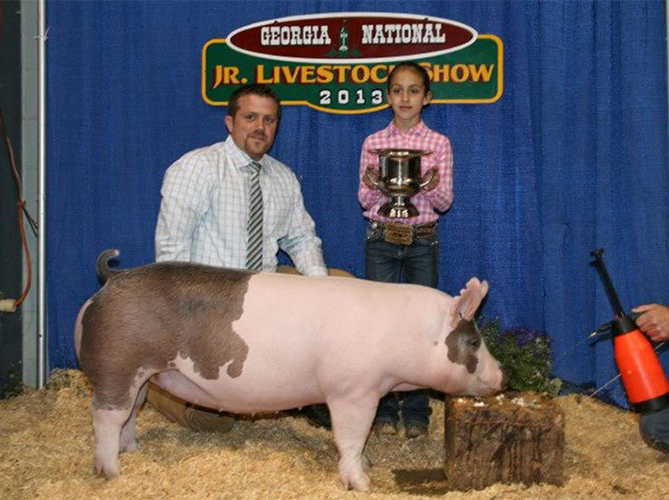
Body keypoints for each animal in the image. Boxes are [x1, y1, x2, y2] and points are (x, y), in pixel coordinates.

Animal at [75, 249, 505, 491]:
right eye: (473, 342)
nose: (504, 375)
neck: (406, 336)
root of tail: (112, 279)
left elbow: (361, 441)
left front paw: (368, 466)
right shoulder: (352, 390)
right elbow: (351, 438)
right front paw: (363, 483)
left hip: (144, 376)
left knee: (130, 414)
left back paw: (133, 452)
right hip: (117, 365)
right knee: (105, 417)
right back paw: (112, 473)